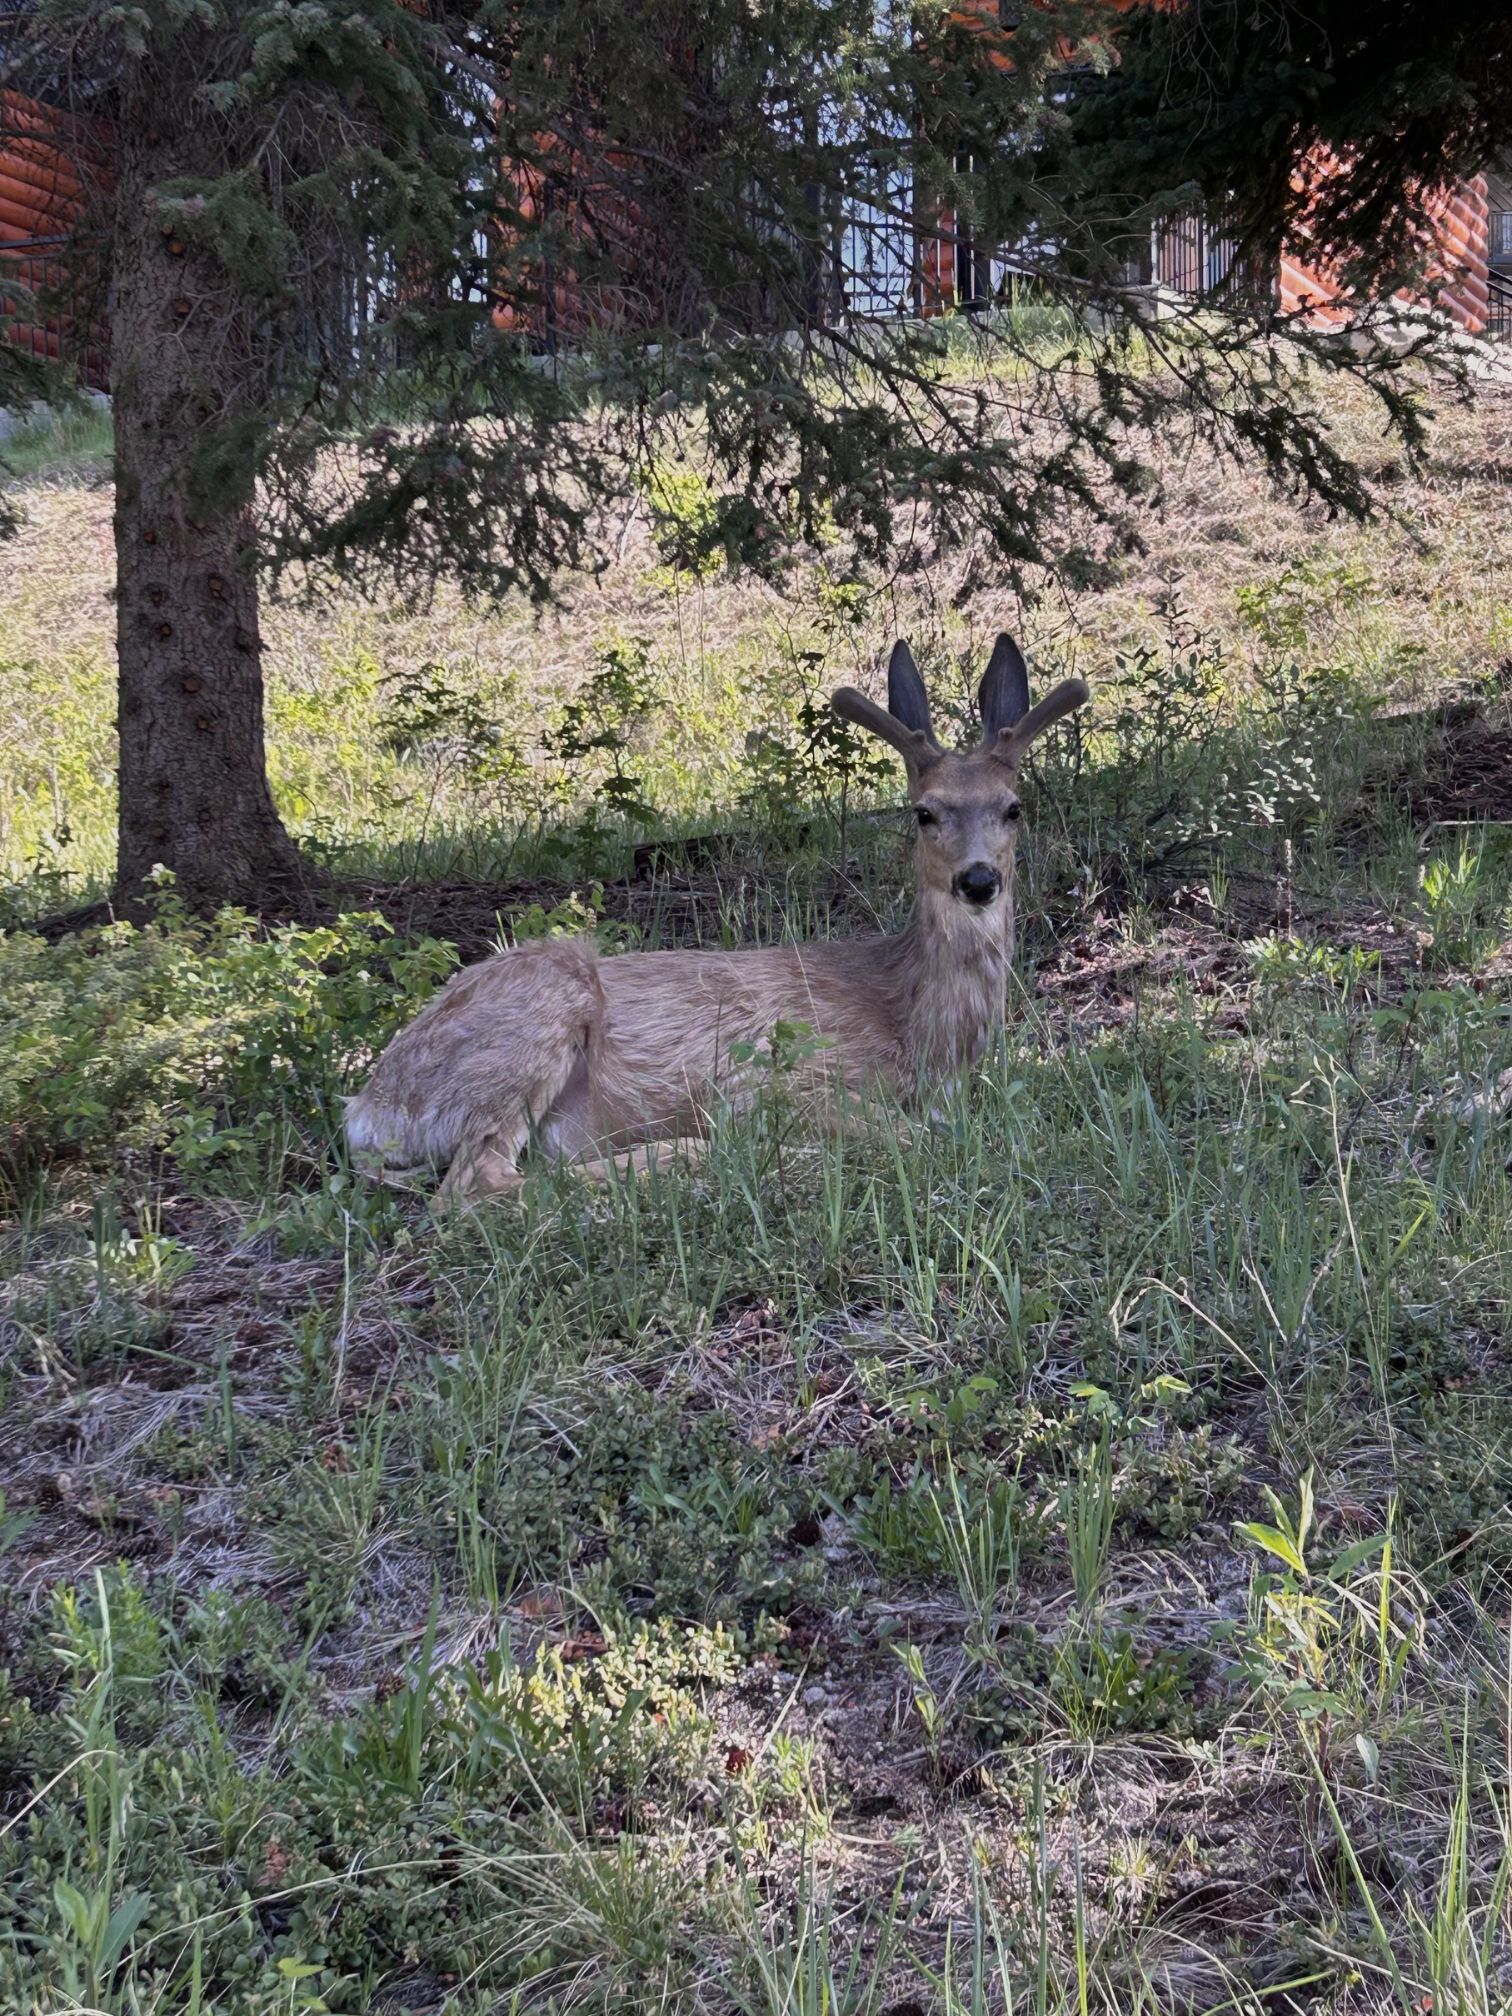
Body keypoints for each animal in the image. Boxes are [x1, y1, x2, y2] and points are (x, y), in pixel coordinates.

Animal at [345, 636, 1089, 1203]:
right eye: (924, 812)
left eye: (1013, 807)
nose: (978, 881)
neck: (919, 1031)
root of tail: (368, 1110)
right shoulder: (780, 1074)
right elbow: (913, 1137)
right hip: (536, 1012)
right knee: (477, 1185)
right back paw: (710, 1157)